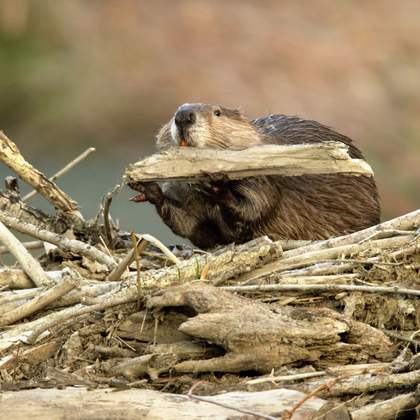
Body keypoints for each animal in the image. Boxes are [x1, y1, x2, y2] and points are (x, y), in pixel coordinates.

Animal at [128, 104, 380, 248]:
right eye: (176, 111)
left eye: (217, 112)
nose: (183, 116)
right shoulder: (182, 192)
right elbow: (190, 226)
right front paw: (148, 190)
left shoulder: (265, 178)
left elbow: (253, 210)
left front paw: (217, 187)